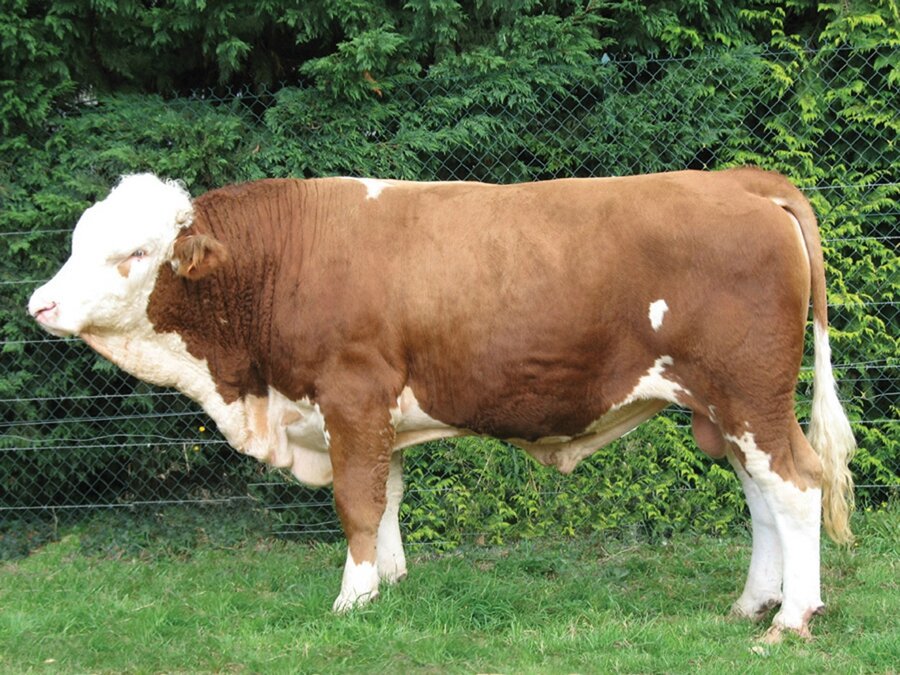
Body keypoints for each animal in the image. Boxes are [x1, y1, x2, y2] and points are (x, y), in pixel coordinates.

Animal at [29, 168, 856, 640]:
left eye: (134, 253)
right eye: (76, 241)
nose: (40, 303)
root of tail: (742, 181)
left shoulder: (351, 395)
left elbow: (357, 501)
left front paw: (353, 596)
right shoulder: (374, 415)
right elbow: (388, 493)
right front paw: (390, 584)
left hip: (749, 393)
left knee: (795, 485)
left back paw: (792, 618)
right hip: (723, 409)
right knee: (761, 493)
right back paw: (754, 602)